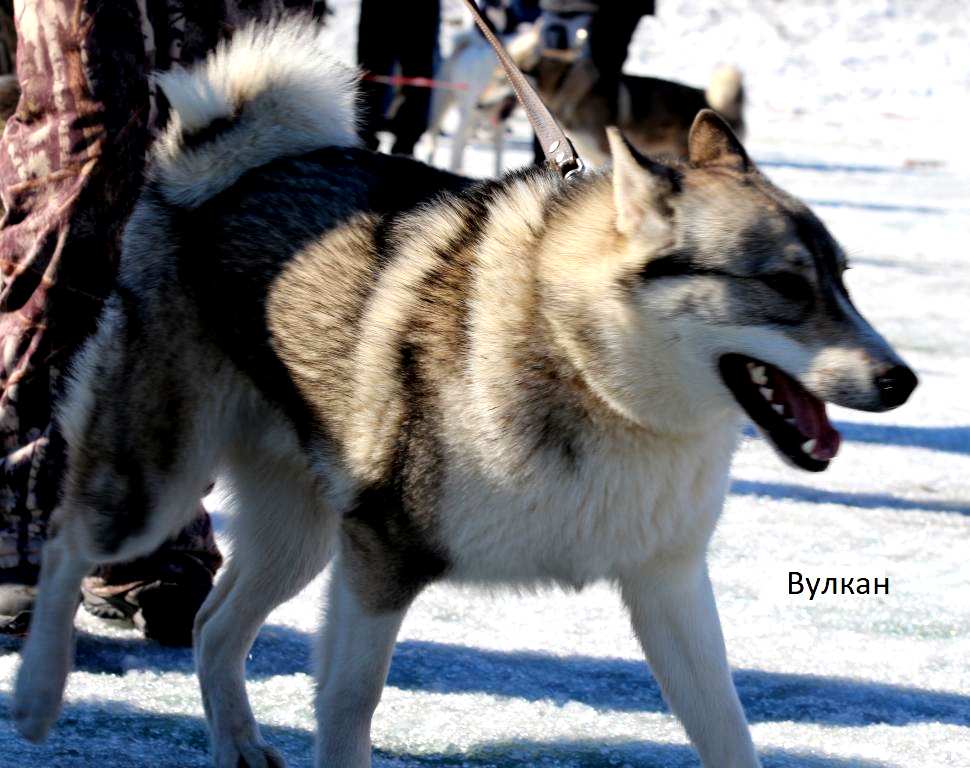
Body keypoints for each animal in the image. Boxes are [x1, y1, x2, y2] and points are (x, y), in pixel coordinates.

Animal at [13, 18, 916, 768]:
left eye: (841, 279)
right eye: (784, 286)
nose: (901, 380)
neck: (587, 369)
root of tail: (212, 173)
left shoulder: (668, 585)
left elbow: (727, 727)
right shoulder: (379, 556)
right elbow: (350, 703)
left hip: (297, 535)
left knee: (210, 626)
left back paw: (235, 742)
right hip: (154, 486)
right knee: (63, 538)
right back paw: (36, 691)